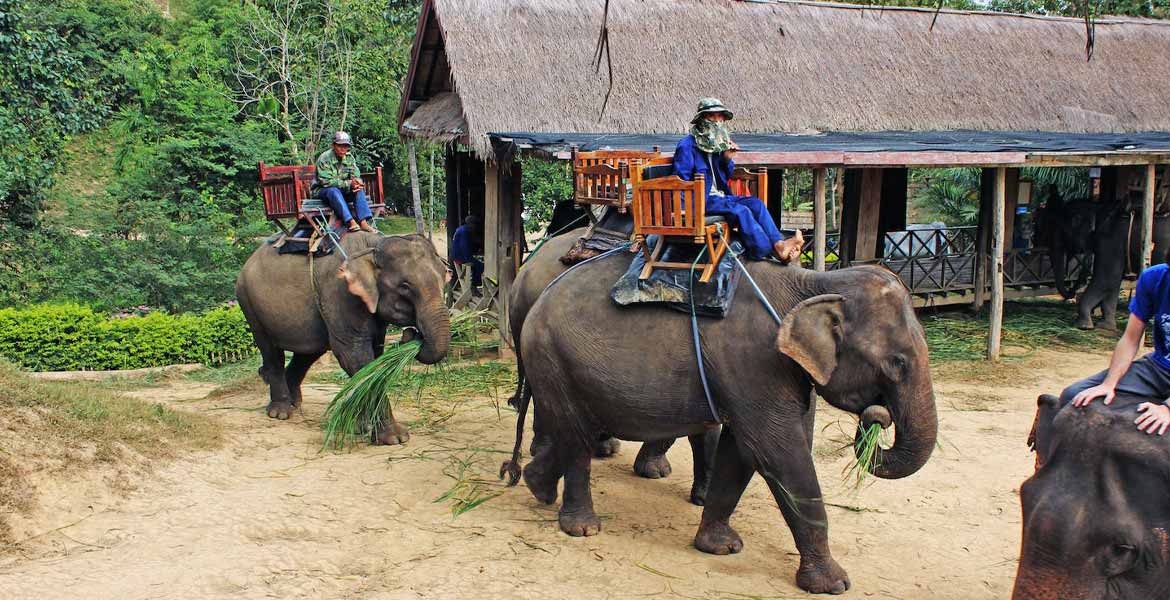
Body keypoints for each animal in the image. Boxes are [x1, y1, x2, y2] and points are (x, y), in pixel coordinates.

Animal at [235, 232, 449, 444]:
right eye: (404, 286)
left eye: (444, 277)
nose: (410, 334)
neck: (373, 246)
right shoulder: (340, 294)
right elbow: (354, 357)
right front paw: (395, 438)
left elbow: (374, 356)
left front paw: (361, 428)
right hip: (250, 305)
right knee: (271, 350)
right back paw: (280, 412)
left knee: (308, 353)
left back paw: (294, 402)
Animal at [517, 253, 935, 594]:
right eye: (897, 363)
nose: (876, 417)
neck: (815, 283)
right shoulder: (756, 362)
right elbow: (777, 452)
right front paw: (834, 584)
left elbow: (741, 451)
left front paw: (719, 548)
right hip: (553, 356)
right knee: (577, 436)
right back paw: (582, 527)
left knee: (577, 433)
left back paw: (537, 486)